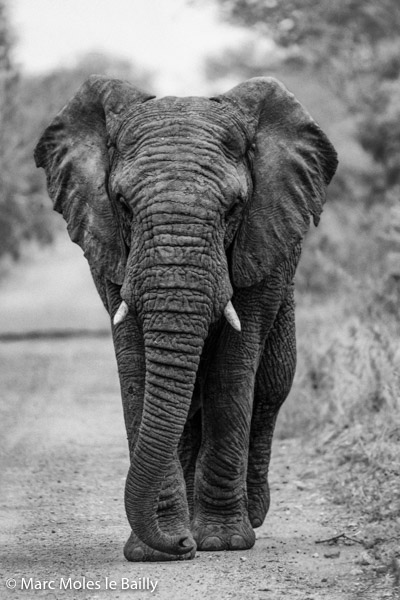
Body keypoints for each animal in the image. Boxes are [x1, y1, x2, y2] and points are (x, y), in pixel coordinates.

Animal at [34, 76, 338, 564]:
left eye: (234, 208)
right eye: (122, 204)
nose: (181, 547)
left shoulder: (259, 242)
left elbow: (233, 373)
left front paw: (221, 542)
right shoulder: (113, 254)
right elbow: (135, 368)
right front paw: (155, 550)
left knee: (273, 383)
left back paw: (249, 514)